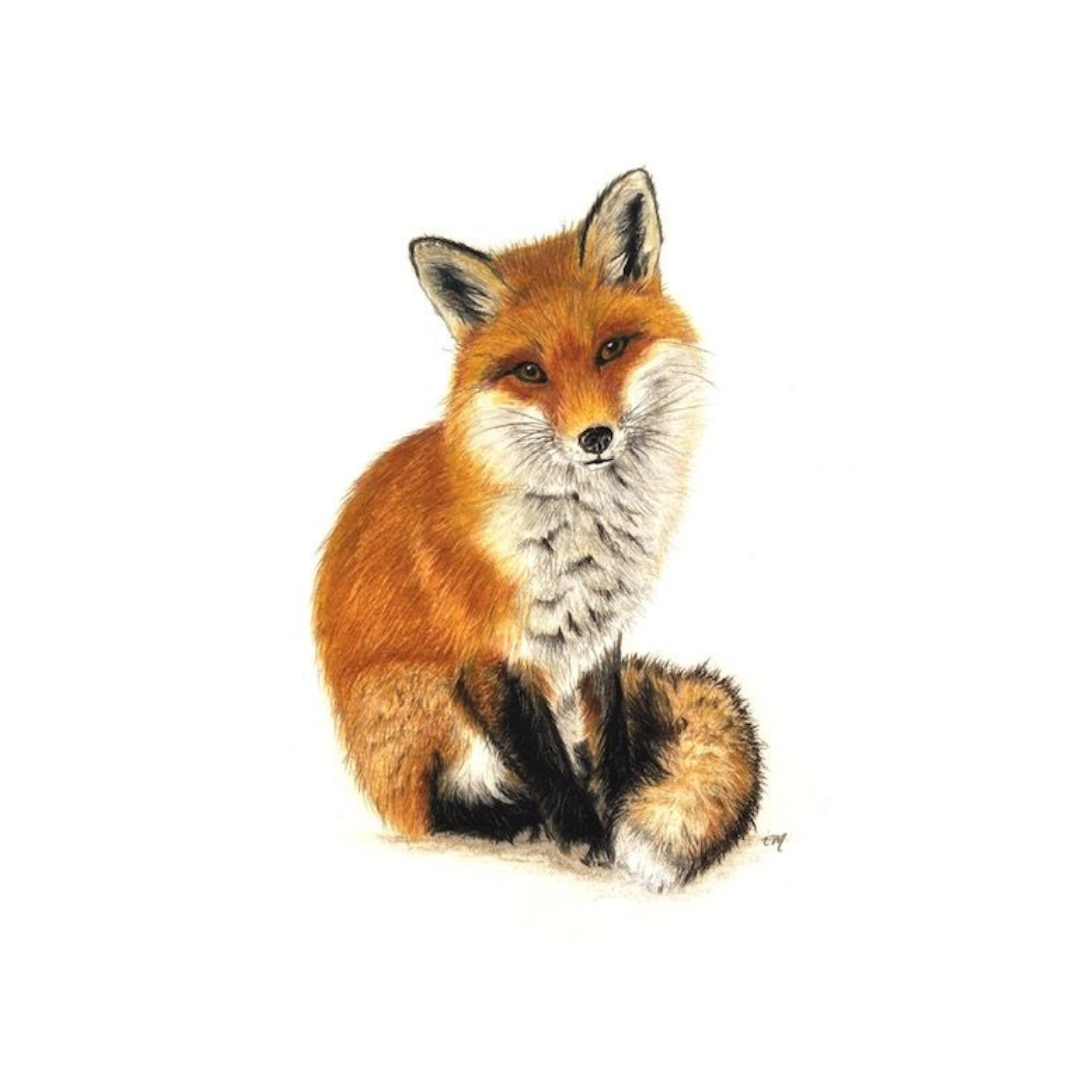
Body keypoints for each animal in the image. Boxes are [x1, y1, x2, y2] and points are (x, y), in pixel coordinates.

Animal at [313, 169, 762, 891]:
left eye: (611, 349)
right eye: (530, 372)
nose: (595, 437)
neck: (581, 530)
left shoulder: (600, 637)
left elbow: (611, 742)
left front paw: (621, 804)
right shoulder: (488, 654)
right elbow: (540, 758)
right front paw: (584, 831)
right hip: (418, 702)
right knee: (429, 811)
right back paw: (507, 819)